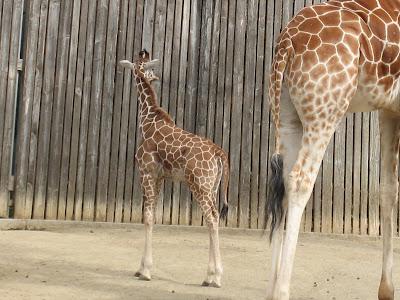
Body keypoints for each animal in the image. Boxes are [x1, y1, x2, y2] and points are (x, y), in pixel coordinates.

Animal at [119, 49, 228, 288]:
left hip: (199, 185)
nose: (155, 78)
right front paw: (140, 268)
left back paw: (216, 277)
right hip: (213, 187)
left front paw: (146, 271)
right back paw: (209, 277)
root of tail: (219, 153)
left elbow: (148, 217)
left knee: (211, 218)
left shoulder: (147, 172)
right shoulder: (160, 177)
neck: (147, 121)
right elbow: (153, 215)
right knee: (215, 216)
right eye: (150, 70)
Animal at [268, 0, 400, 300]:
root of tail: (287, 43)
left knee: (283, 184)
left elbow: (388, 190)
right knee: (300, 181)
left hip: (289, 117)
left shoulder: (389, 109)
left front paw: (386, 290)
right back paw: (282, 290)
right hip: (325, 112)